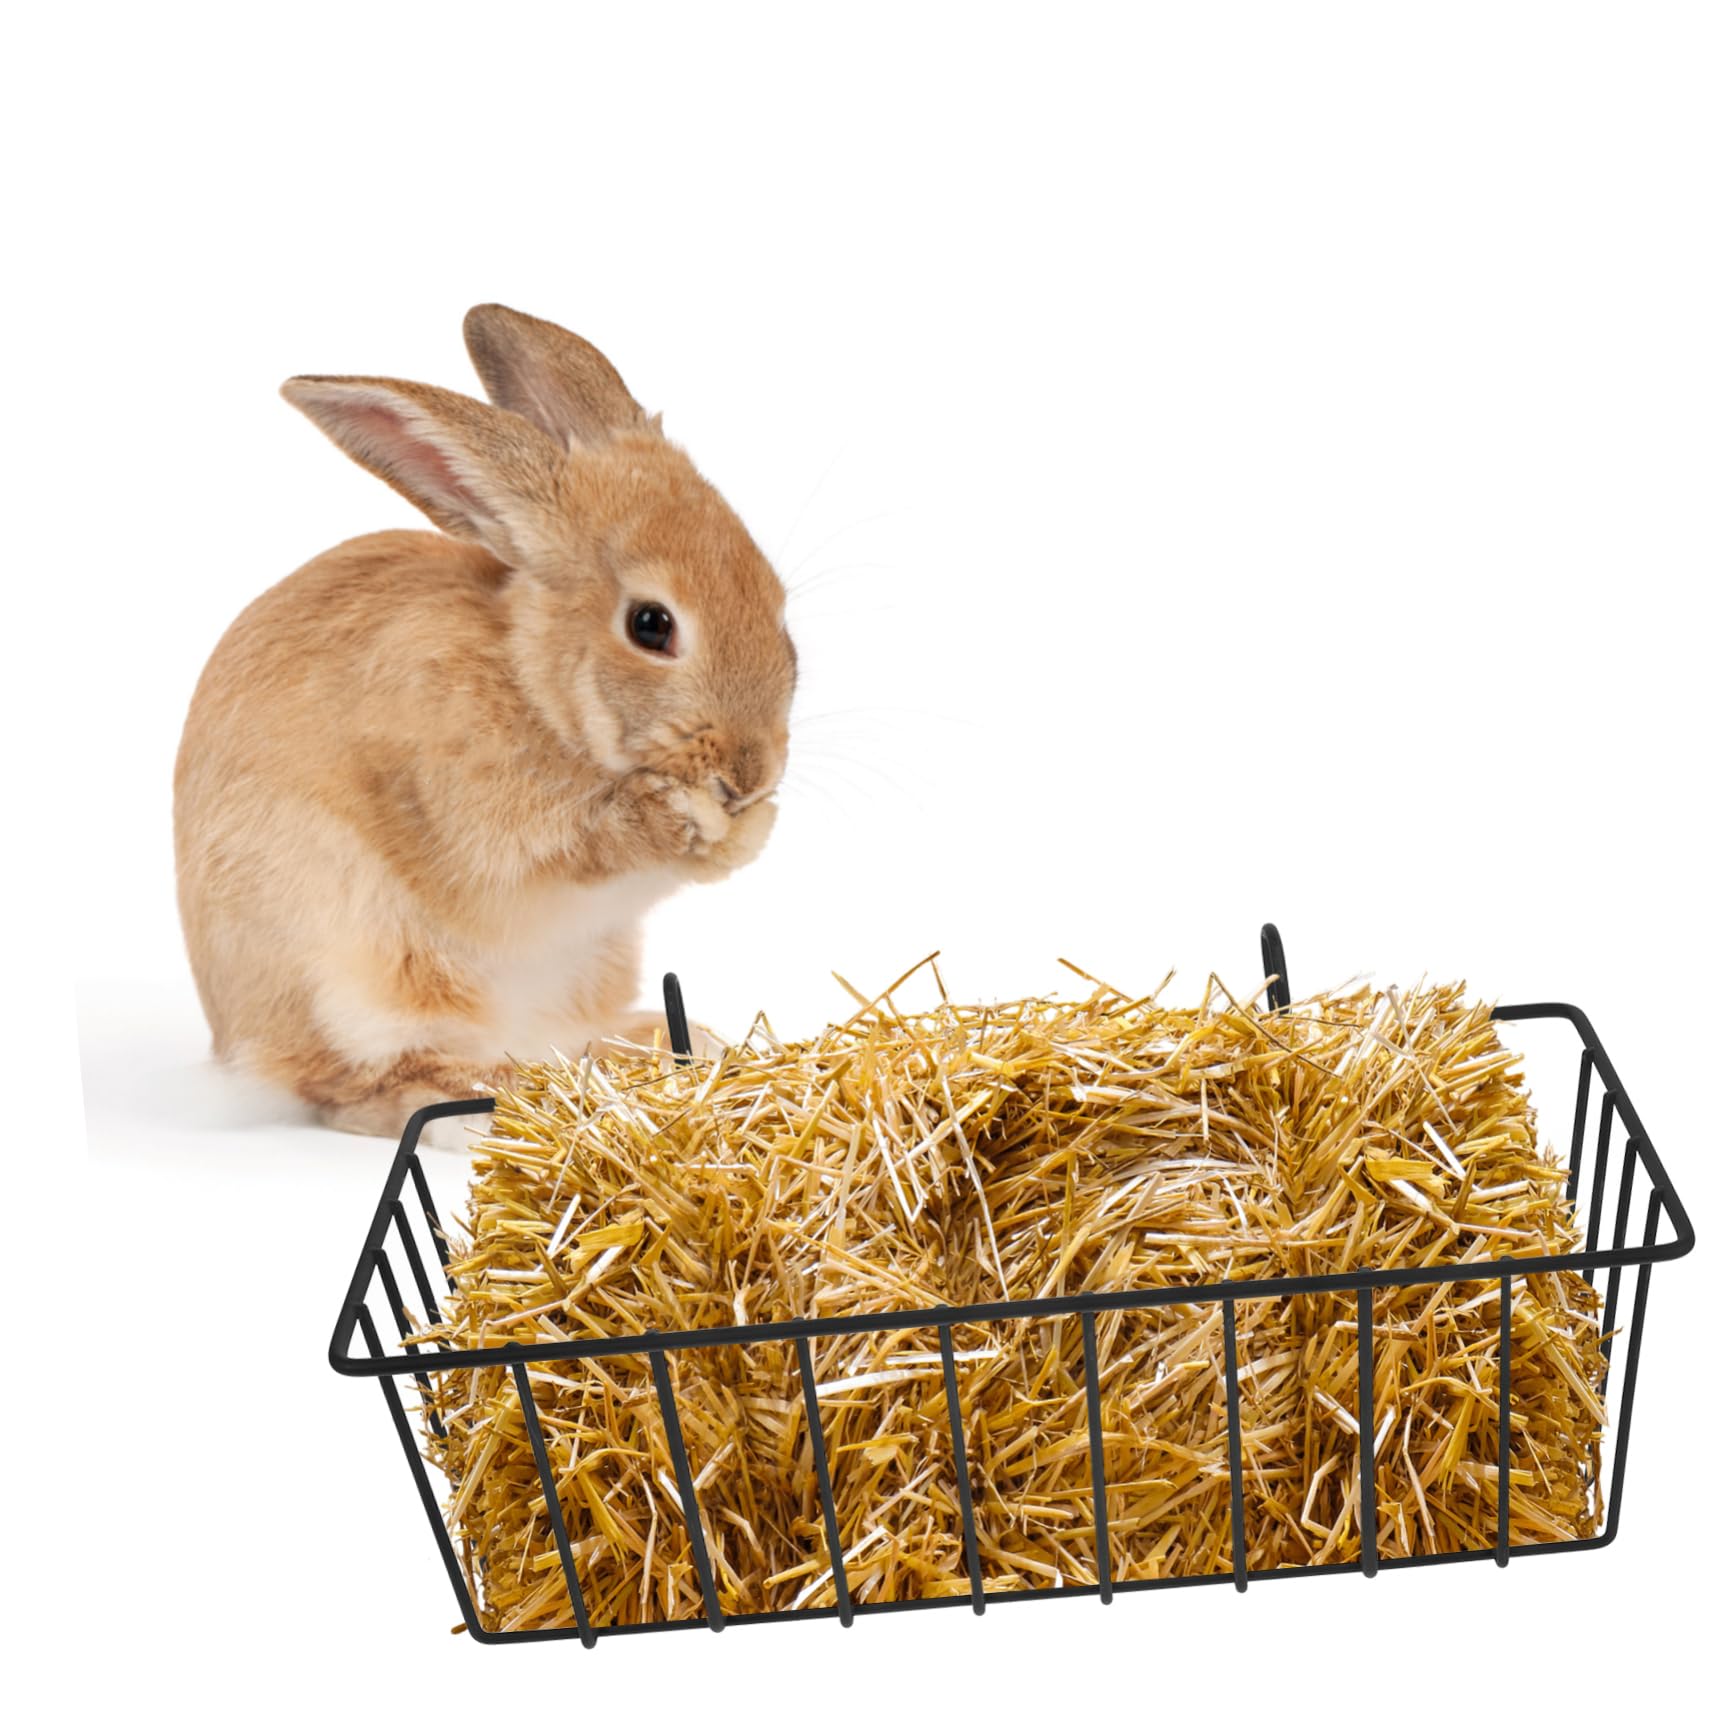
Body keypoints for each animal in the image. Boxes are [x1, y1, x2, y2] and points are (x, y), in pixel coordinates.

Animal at [174, 305, 796, 1138]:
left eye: (777, 603)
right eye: (651, 625)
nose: (750, 773)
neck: (537, 686)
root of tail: (233, 1046)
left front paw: (747, 828)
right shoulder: (480, 819)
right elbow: (579, 845)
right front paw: (684, 819)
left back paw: (663, 1046)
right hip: (356, 969)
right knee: (353, 1087)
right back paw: (476, 1103)